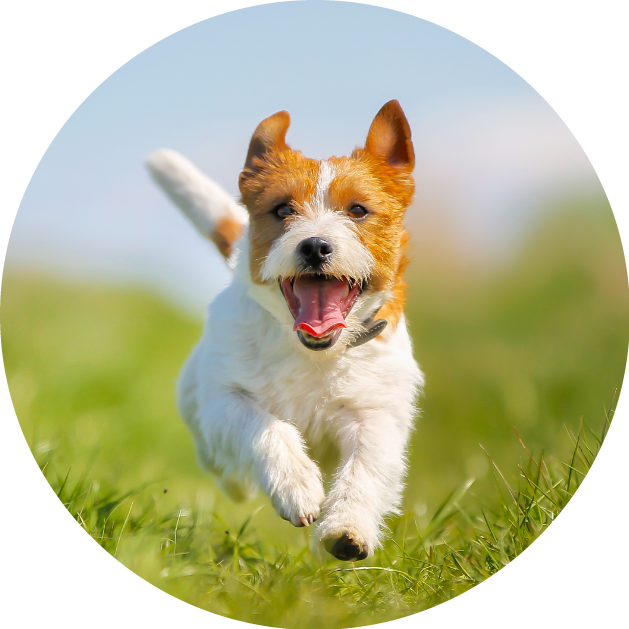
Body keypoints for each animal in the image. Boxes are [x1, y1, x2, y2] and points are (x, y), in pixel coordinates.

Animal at [146, 99, 422, 560]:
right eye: (282, 210)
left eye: (358, 210)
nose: (315, 245)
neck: (313, 352)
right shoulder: (225, 400)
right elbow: (265, 426)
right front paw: (296, 486)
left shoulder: (375, 413)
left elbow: (364, 467)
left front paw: (346, 527)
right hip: (199, 409)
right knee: (219, 462)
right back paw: (238, 483)